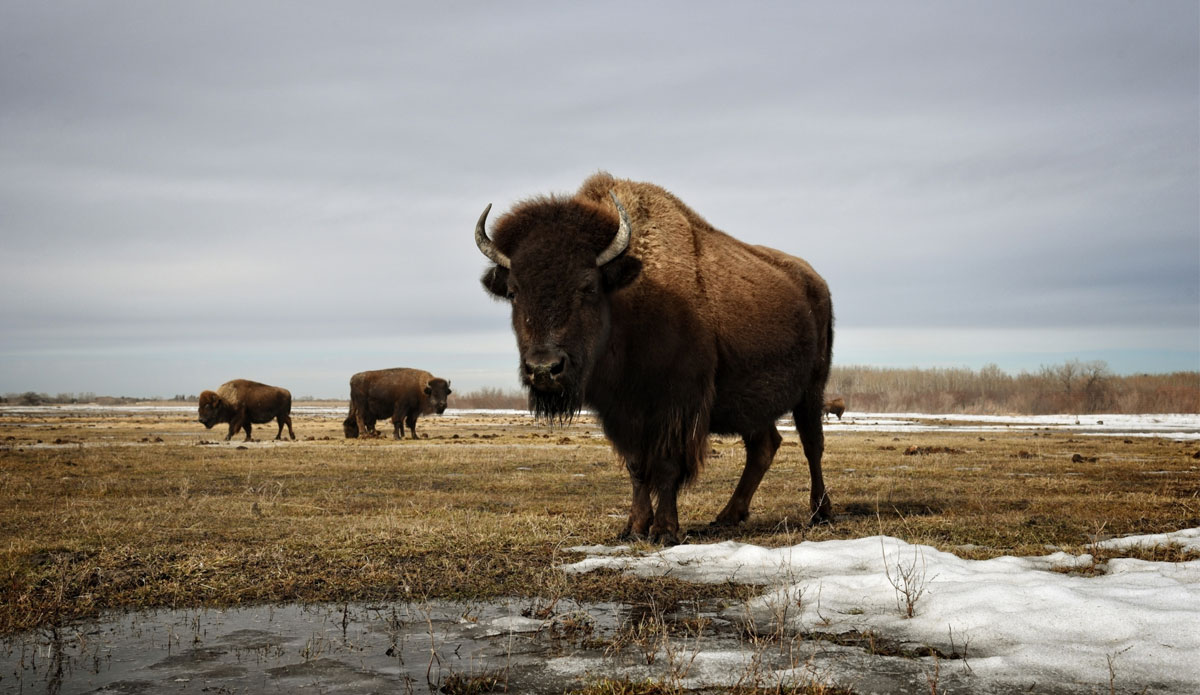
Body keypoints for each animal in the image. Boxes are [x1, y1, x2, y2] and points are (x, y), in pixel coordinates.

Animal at [475, 174, 835, 544]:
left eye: (588, 286)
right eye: (514, 291)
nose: (544, 369)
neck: (629, 299)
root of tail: (816, 283)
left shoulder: (674, 406)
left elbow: (665, 466)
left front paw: (664, 530)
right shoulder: (621, 413)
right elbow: (637, 467)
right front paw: (633, 527)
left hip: (812, 390)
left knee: (812, 444)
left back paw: (820, 513)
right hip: (753, 405)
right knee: (764, 446)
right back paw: (727, 516)